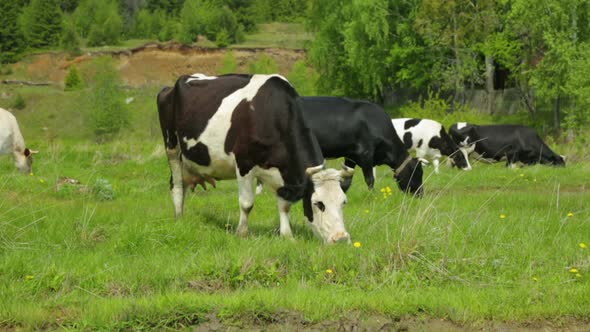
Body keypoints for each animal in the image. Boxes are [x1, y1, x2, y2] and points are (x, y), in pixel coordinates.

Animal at [156, 73, 356, 244]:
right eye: (319, 204)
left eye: (344, 202)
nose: (341, 238)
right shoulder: (244, 163)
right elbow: (247, 203)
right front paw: (242, 233)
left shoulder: (284, 174)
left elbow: (284, 206)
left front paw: (287, 236)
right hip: (172, 147)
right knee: (177, 185)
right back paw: (179, 217)